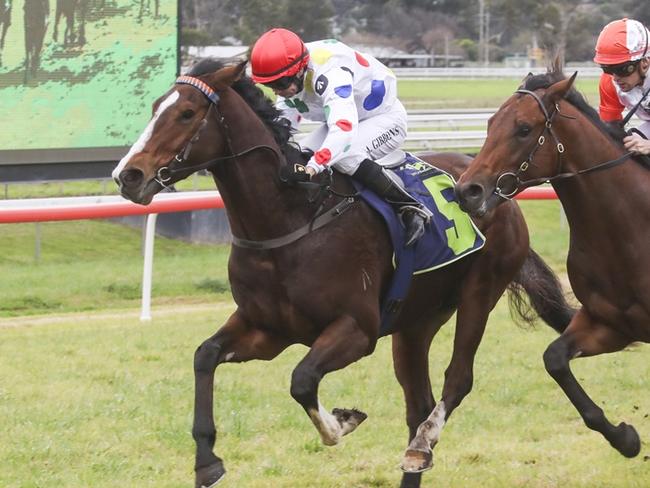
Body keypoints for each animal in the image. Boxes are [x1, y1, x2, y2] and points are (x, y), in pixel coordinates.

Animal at [111, 61, 572, 488]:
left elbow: (301, 380)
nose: (128, 175)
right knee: (417, 405)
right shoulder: (268, 329)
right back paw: (415, 454)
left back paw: (423, 441)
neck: (290, 218)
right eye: (155, 107)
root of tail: (495, 191)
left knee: (456, 381)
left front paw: (343, 421)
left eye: (186, 113)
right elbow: (205, 354)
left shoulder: (357, 329)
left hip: (480, 291)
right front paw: (207, 461)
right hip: (416, 321)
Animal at [454, 63, 644, 458]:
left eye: (524, 129)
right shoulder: (612, 323)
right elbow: (554, 359)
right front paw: (625, 438)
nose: (467, 191)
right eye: (490, 122)